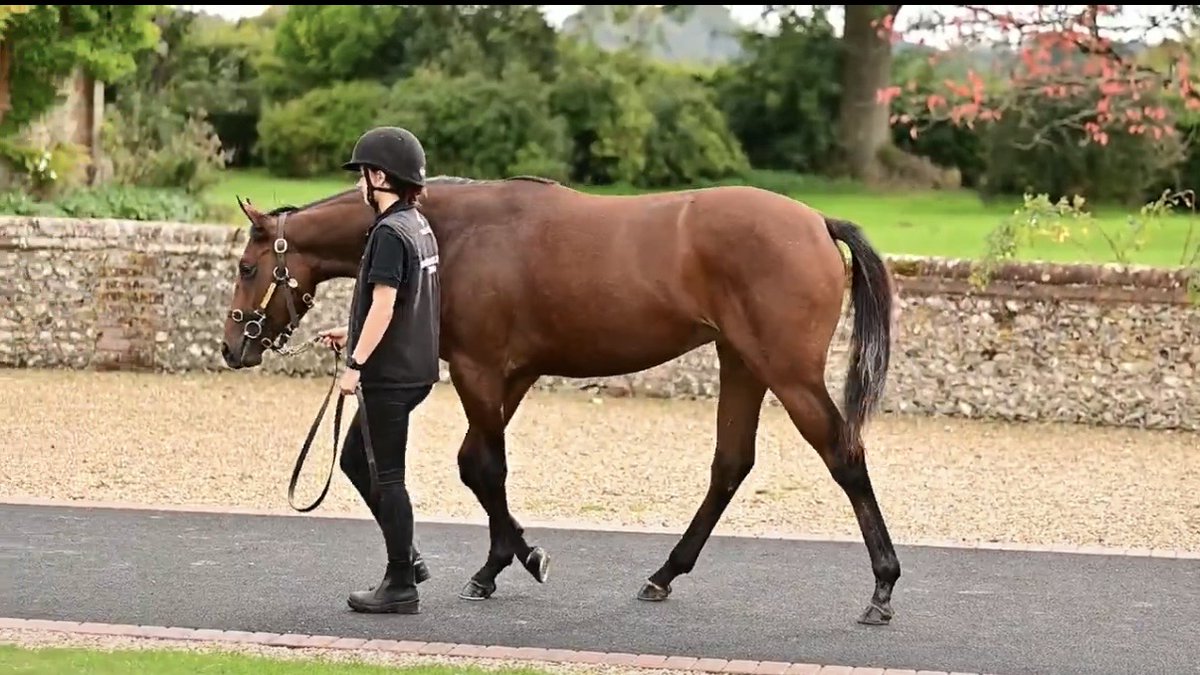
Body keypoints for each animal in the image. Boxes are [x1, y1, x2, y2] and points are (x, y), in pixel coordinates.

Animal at [220, 174, 901, 626]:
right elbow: (452, 465)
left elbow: (483, 467)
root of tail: (818, 222)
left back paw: (882, 588)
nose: (232, 347)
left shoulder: (480, 370)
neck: (454, 229)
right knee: (730, 464)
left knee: (844, 453)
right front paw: (466, 563)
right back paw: (663, 576)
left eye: (248, 268)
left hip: (787, 372)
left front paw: (512, 561)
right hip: (741, 364)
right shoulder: (513, 375)